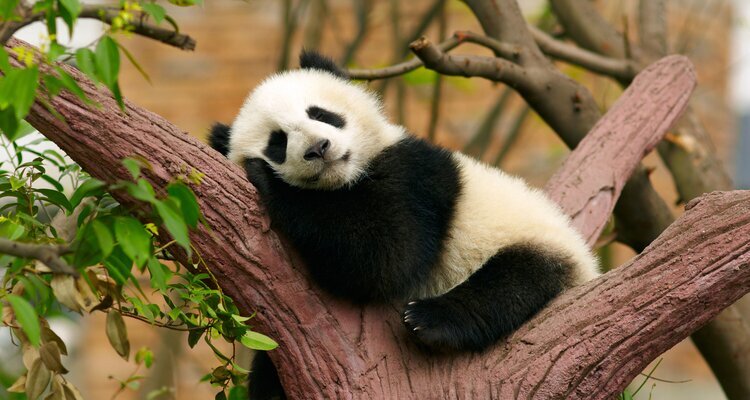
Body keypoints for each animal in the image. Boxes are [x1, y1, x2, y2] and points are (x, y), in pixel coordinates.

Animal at [209, 51, 599, 397]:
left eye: (321, 114)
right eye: (277, 142)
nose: (318, 148)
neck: (344, 181)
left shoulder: (414, 177)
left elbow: (385, 256)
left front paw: (268, 180)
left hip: (536, 242)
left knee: (513, 281)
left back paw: (430, 319)